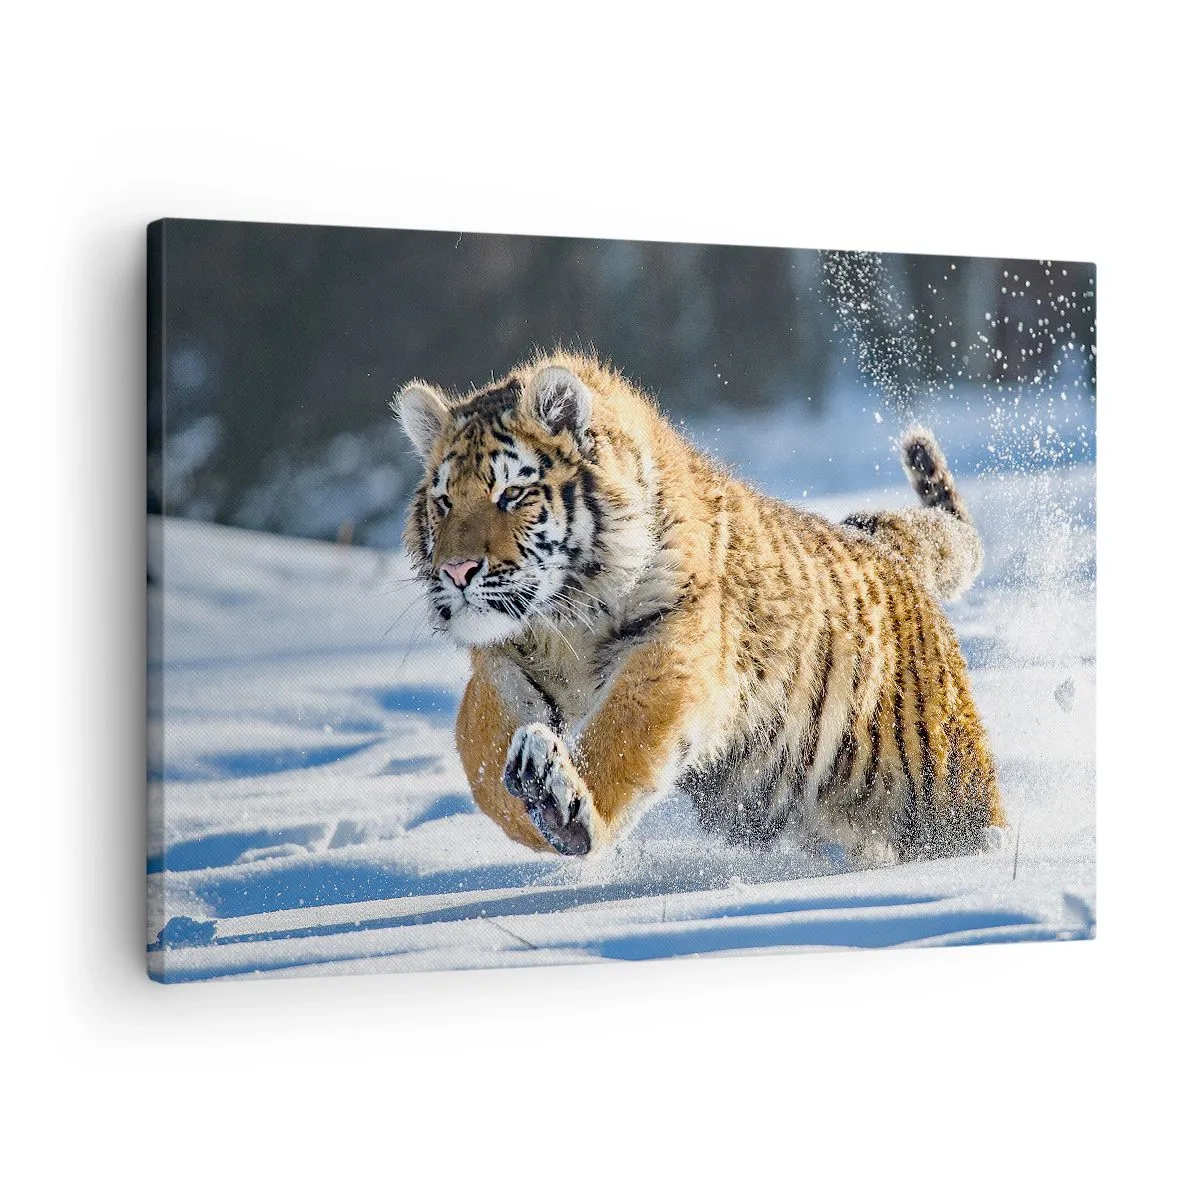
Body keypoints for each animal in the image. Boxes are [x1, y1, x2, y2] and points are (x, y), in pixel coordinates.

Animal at [391, 351, 1004, 868]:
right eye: (443, 502)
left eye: (512, 495)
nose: (457, 572)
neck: (563, 618)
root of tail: (883, 543)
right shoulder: (500, 662)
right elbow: (482, 755)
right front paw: (530, 800)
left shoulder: (671, 645)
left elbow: (621, 733)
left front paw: (563, 806)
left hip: (945, 786)